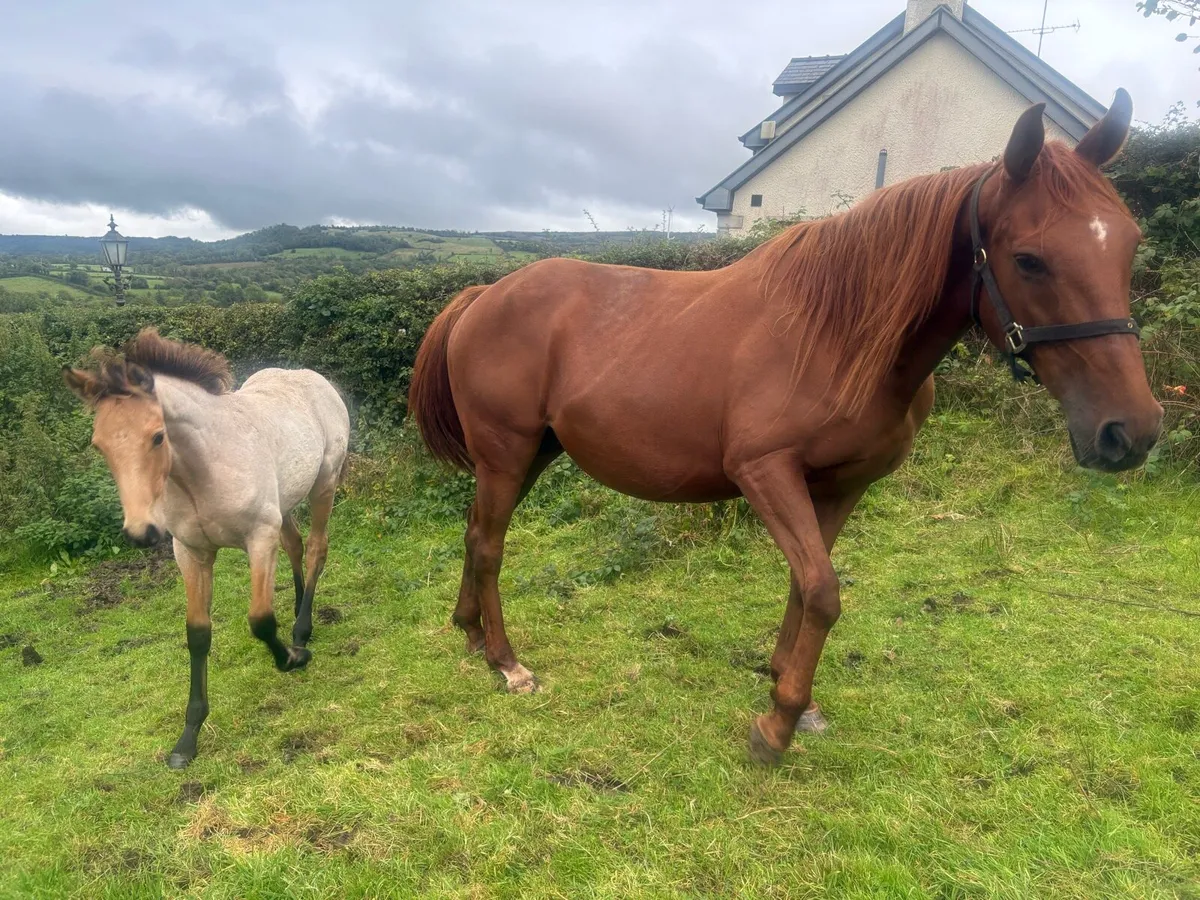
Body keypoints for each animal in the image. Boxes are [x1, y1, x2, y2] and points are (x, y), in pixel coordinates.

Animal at [64, 328, 350, 769]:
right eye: (99, 446)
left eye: (158, 436)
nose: (141, 532)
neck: (203, 471)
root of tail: (312, 378)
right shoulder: (191, 553)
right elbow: (198, 633)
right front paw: (188, 738)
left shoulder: (258, 538)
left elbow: (260, 619)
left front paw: (291, 658)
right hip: (284, 503)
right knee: (296, 545)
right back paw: (301, 618)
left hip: (325, 483)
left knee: (318, 547)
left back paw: (301, 632)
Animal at [409, 91, 1163, 765]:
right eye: (1030, 259)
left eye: (1129, 244)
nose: (1131, 431)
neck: (838, 336)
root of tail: (486, 295)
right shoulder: (765, 472)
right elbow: (824, 591)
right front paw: (776, 726)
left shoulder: (840, 484)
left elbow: (808, 584)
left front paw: (790, 693)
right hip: (507, 452)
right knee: (489, 546)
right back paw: (508, 663)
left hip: (531, 453)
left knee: (475, 534)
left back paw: (470, 637)